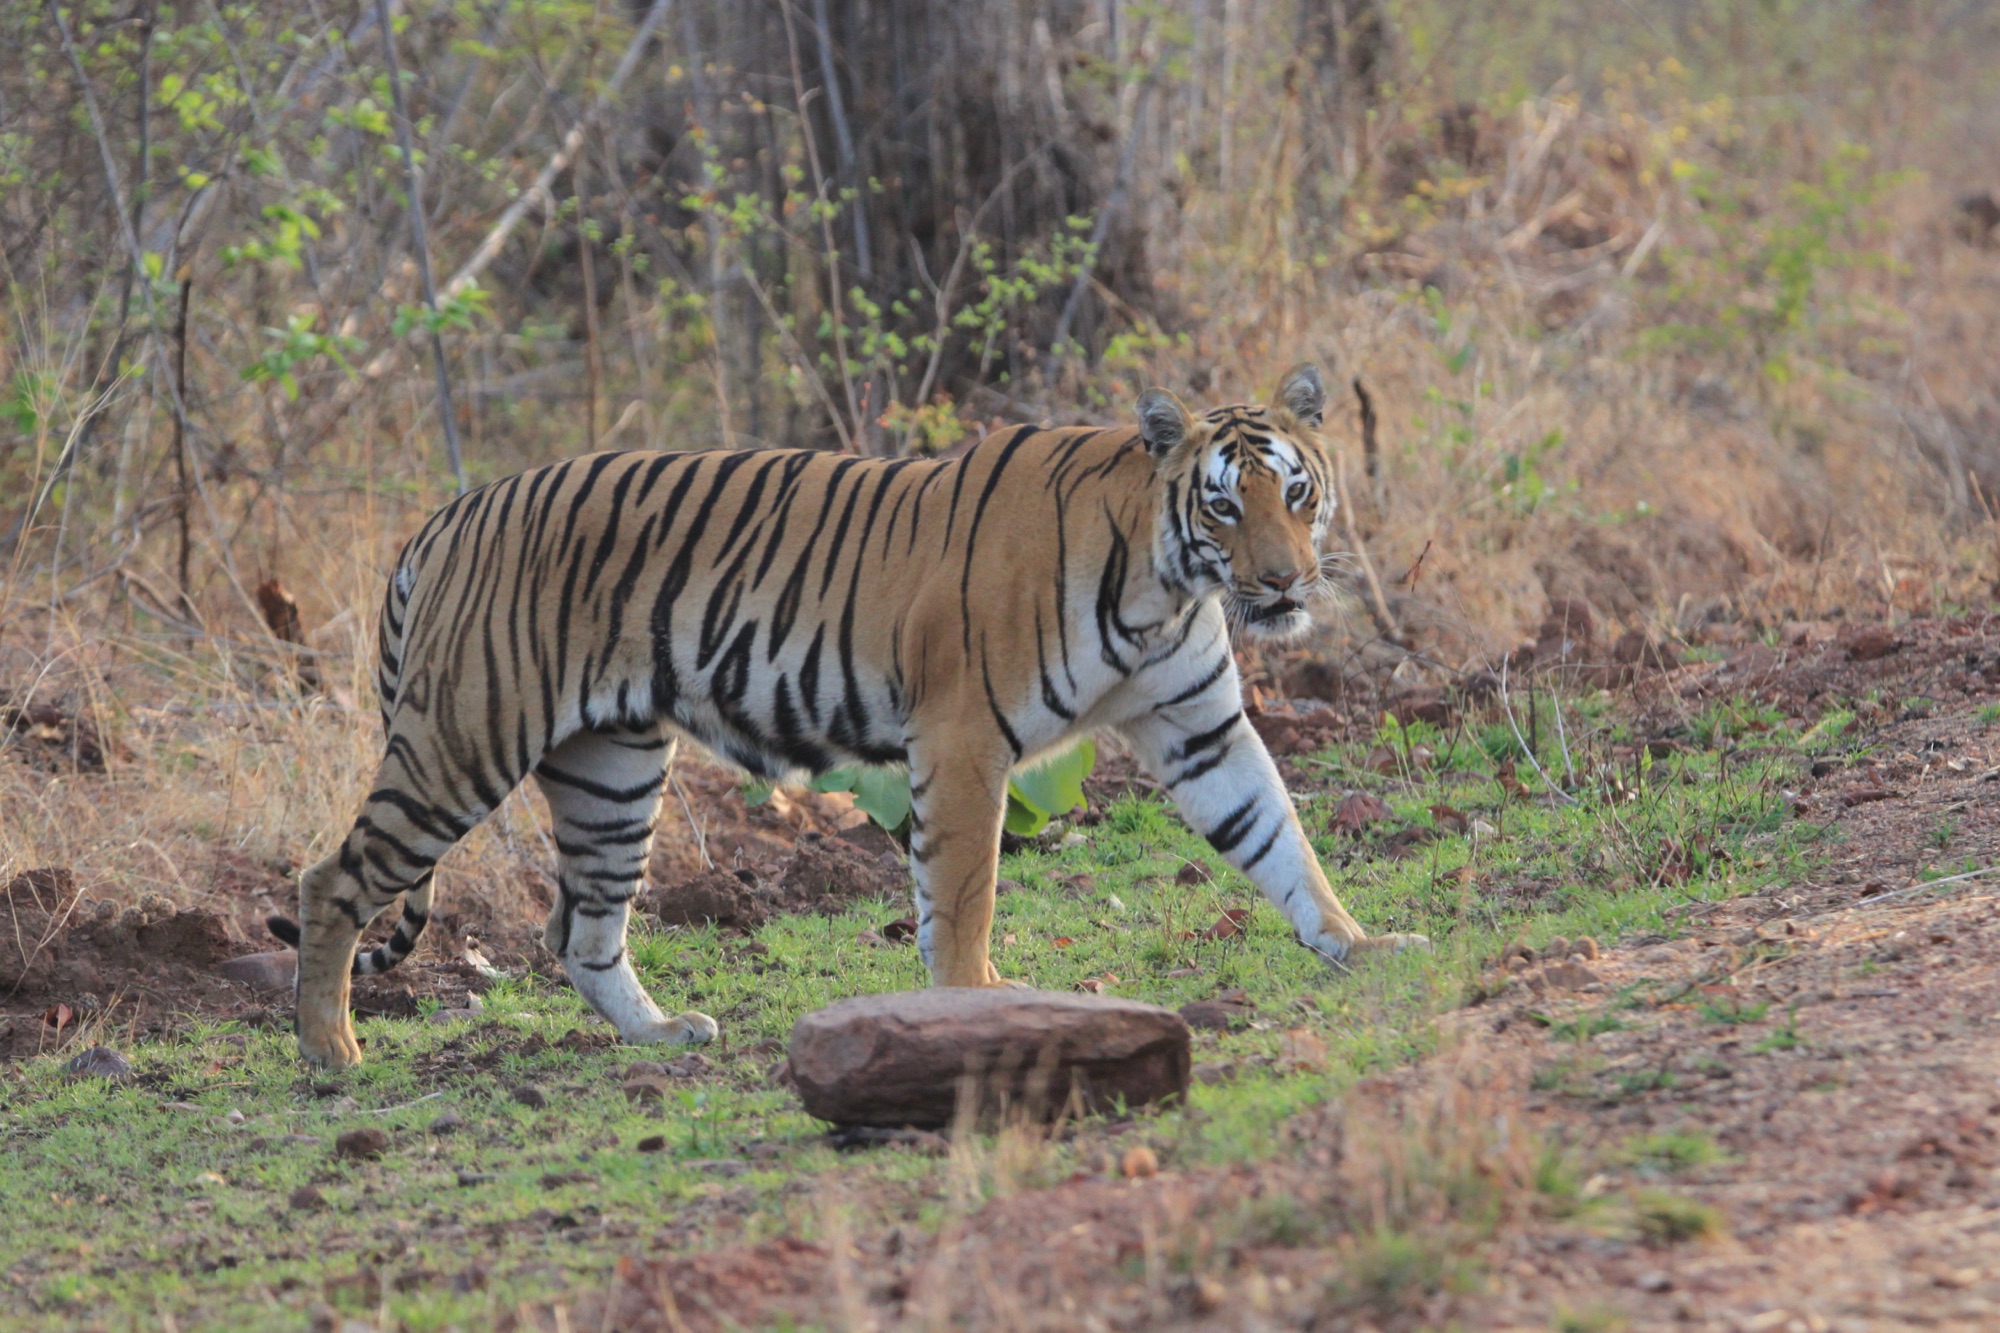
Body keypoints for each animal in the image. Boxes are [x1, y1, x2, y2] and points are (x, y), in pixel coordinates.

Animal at [278, 363, 1428, 1068]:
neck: (1164, 584)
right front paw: (976, 999)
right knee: (333, 878)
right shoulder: (962, 740)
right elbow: (960, 894)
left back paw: (662, 1035)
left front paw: (1358, 943)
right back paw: (331, 1049)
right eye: (1224, 505)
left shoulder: (1198, 727)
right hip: (463, 739)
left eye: (1296, 494)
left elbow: (1277, 835)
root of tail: (446, 516)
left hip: (611, 767)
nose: (1282, 583)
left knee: (581, 926)